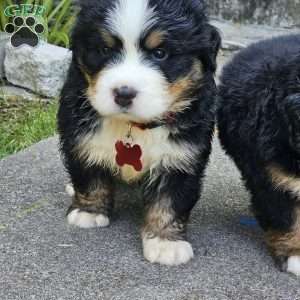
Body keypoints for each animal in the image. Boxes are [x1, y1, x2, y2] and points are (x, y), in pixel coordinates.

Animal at [58, 0, 220, 264]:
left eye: (160, 53)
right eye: (104, 49)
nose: (124, 93)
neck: (133, 126)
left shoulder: (182, 155)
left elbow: (170, 200)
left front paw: (165, 242)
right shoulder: (79, 133)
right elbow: (87, 173)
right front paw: (88, 211)